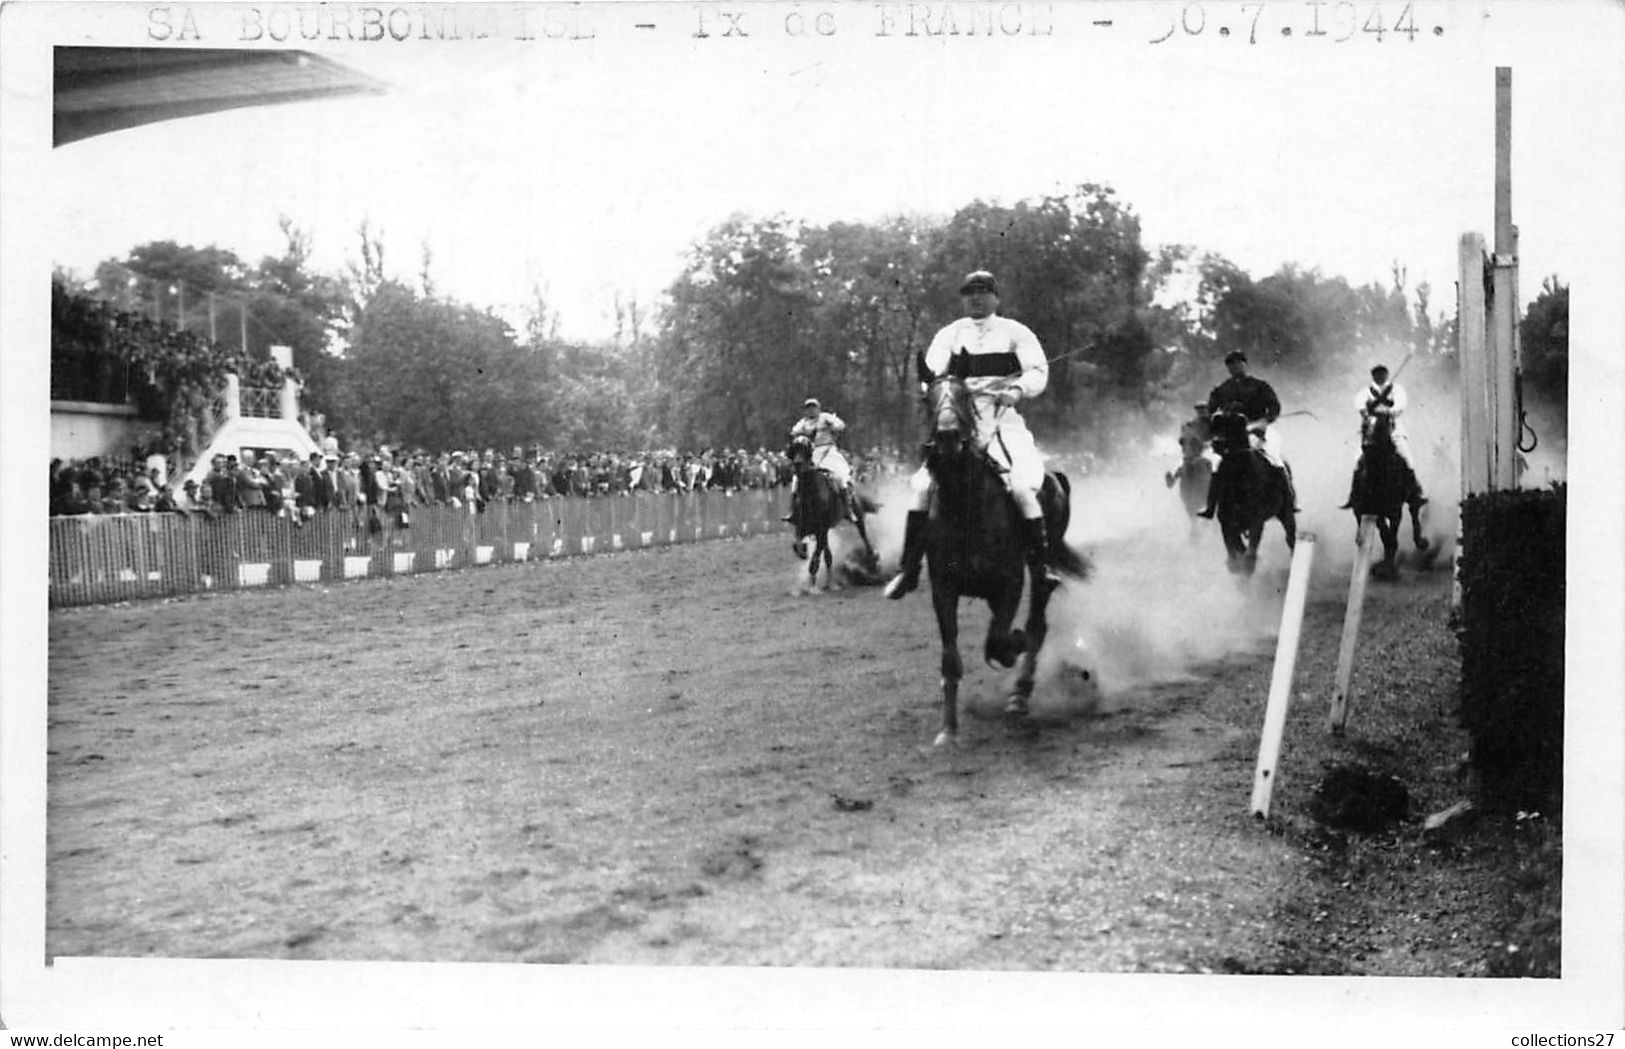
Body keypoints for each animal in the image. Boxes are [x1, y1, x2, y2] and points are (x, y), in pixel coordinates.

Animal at [783, 438, 877, 597]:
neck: (811, 495)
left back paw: (872, 561)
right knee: (828, 555)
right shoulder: (802, 528)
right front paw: (803, 553)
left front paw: (812, 587)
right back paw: (830, 583)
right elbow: (798, 546)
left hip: (857, 516)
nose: (798, 464)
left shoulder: (821, 529)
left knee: (864, 536)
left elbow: (815, 558)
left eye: (806, 449)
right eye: (794, 448)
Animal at [916, 378, 1092, 746]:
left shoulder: (1010, 583)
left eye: (963, 397)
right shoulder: (944, 588)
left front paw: (1015, 645)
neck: (966, 507)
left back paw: (1019, 695)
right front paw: (948, 730)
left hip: (1037, 572)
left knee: (1038, 622)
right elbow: (951, 657)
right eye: (929, 398)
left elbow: (999, 641)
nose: (947, 436)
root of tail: (1055, 474)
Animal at [1209, 407, 1293, 578]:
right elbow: (1234, 549)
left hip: (1286, 513)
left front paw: (1246, 567)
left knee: (1290, 536)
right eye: (1216, 424)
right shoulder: (1227, 523)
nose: (1216, 442)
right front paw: (1234, 566)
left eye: (1233, 425)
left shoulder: (1257, 522)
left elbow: (1249, 552)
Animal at [1352, 409, 1430, 578]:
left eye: (1380, 427)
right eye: (1364, 427)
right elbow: (1385, 534)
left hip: (1410, 498)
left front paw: (1387, 568)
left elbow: (1392, 536)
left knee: (1414, 511)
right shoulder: (1374, 512)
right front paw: (1383, 566)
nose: (1367, 446)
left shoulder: (1395, 510)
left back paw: (1421, 542)